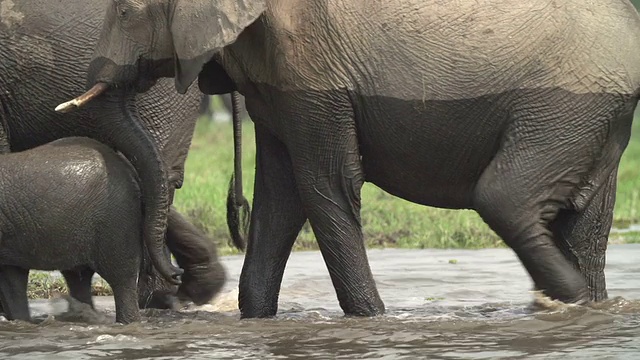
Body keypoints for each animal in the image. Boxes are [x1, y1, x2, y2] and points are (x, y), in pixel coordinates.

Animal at [60, 1, 640, 320]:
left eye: (126, 11)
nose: (179, 284)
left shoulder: (312, 74)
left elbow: (325, 187)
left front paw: (371, 320)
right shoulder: (280, 84)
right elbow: (280, 201)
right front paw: (257, 319)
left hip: (563, 105)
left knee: (506, 199)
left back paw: (572, 303)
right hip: (595, 116)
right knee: (584, 223)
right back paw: (590, 303)